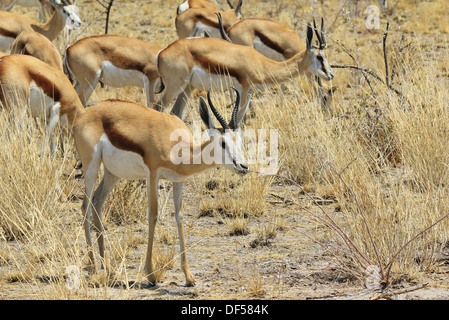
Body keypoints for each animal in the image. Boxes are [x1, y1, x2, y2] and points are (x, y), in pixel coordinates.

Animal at [73, 89, 248, 286]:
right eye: (223, 142)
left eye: (241, 141)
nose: (244, 166)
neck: (177, 148)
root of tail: (84, 115)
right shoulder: (152, 174)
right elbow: (153, 216)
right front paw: (150, 274)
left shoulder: (178, 181)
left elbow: (179, 217)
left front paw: (189, 276)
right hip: (92, 166)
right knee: (85, 207)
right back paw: (93, 267)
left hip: (112, 174)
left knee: (97, 203)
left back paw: (109, 270)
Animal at [154, 19, 332, 124]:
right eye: (319, 57)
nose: (331, 74)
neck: (261, 64)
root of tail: (162, 52)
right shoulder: (244, 91)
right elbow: (238, 121)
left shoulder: (249, 94)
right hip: (174, 87)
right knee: (158, 107)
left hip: (188, 88)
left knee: (176, 112)